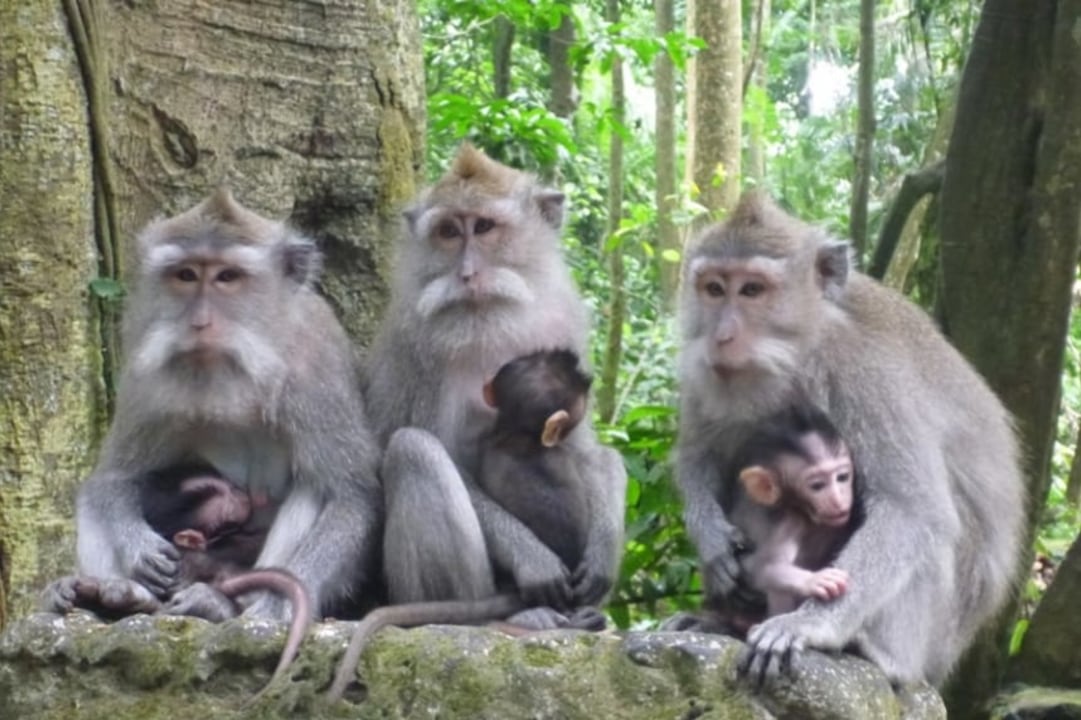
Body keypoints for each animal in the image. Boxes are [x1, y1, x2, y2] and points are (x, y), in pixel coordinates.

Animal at [41, 189, 383, 626]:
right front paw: (139, 548)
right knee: (93, 496)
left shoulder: (317, 367)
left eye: (227, 277)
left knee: (314, 487)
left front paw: (276, 604)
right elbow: (114, 478)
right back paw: (117, 595)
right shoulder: (144, 369)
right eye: (186, 275)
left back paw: (221, 605)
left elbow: (350, 494)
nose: (200, 322)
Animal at [362, 144, 625, 630]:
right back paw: (487, 617)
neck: (490, 321)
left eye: (483, 227)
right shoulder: (419, 351)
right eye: (449, 232)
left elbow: (586, 448)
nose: (466, 274)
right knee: (413, 448)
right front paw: (533, 559)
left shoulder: (564, 325)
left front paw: (605, 545)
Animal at [673, 191, 1024, 687]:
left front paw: (810, 623)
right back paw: (722, 621)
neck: (800, 353)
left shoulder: (867, 377)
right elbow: (698, 455)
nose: (721, 336)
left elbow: (913, 510)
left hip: (939, 634)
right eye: (714, 289)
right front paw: (712, 541)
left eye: (752, 290)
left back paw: (882, 654)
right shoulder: (705, 374)